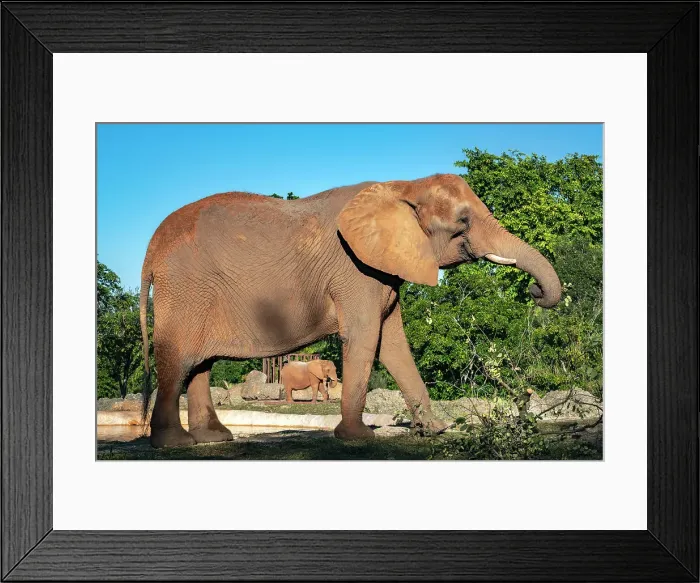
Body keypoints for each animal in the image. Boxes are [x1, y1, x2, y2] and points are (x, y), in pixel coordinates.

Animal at [139, 173, 562, 448]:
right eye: (462, 221)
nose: (535, 291)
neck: (403, 186)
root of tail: (151, 249)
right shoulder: (354, 270)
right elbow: (365, 336)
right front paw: (358, 439)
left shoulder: (381, 271)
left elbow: (393, 344)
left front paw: (436, 429)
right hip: (187, 288)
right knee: (180, 358)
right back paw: (174, 444)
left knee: (201, 365)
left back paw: (213, 439)